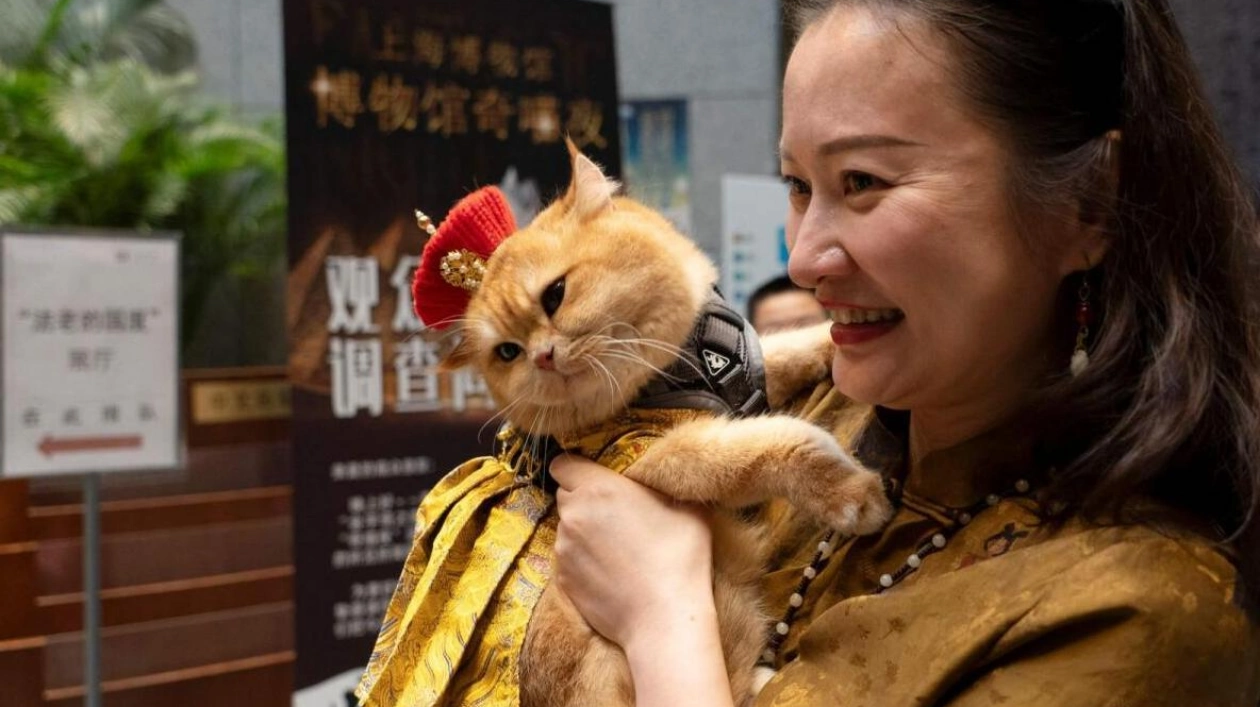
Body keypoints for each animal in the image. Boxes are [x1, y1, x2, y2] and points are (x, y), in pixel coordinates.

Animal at [350, 141, 892, 705]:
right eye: (508, 352)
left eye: (555, 294)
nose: (542, 357)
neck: (678, 366)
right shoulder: (662, 454)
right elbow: (774, 447)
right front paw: (854, 494)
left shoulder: (750, 371)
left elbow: (791, 350)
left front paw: (835, 344)